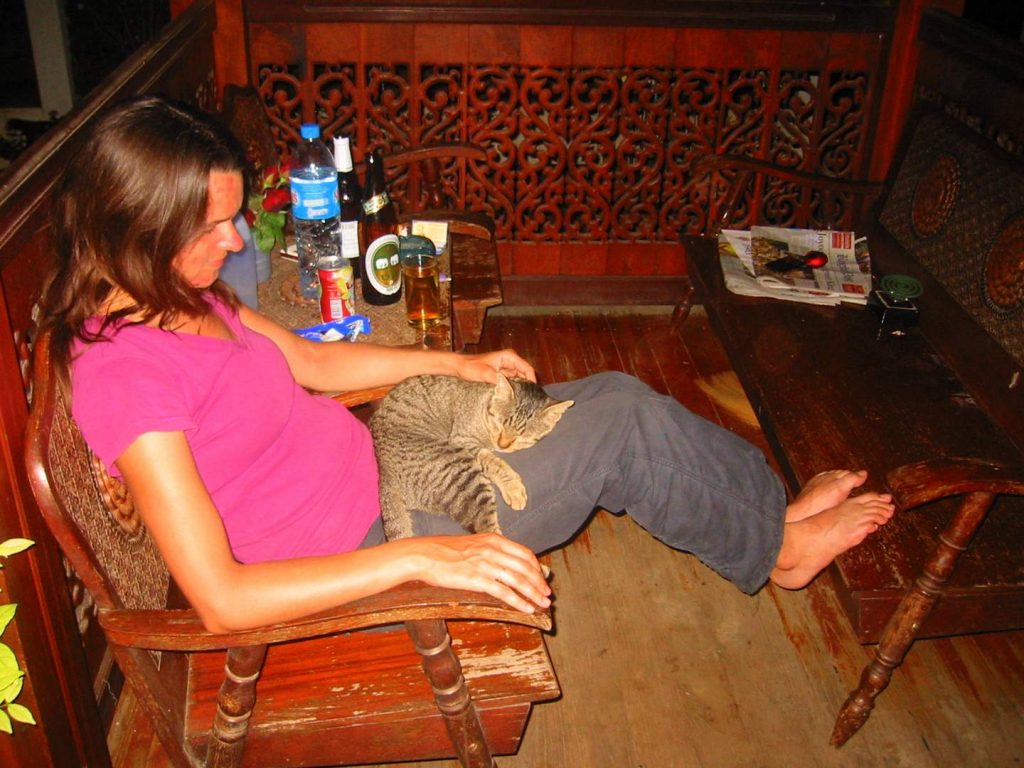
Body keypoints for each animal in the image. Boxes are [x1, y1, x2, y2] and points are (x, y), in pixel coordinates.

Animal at [369, 373, 573, 541]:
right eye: (500, 424)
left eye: (521, 437)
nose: (502, 445)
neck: (483, 403)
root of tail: (383, 474)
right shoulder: (464, 441)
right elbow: (494, 462)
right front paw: (513, 487)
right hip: (462, 473)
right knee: (486, 531)